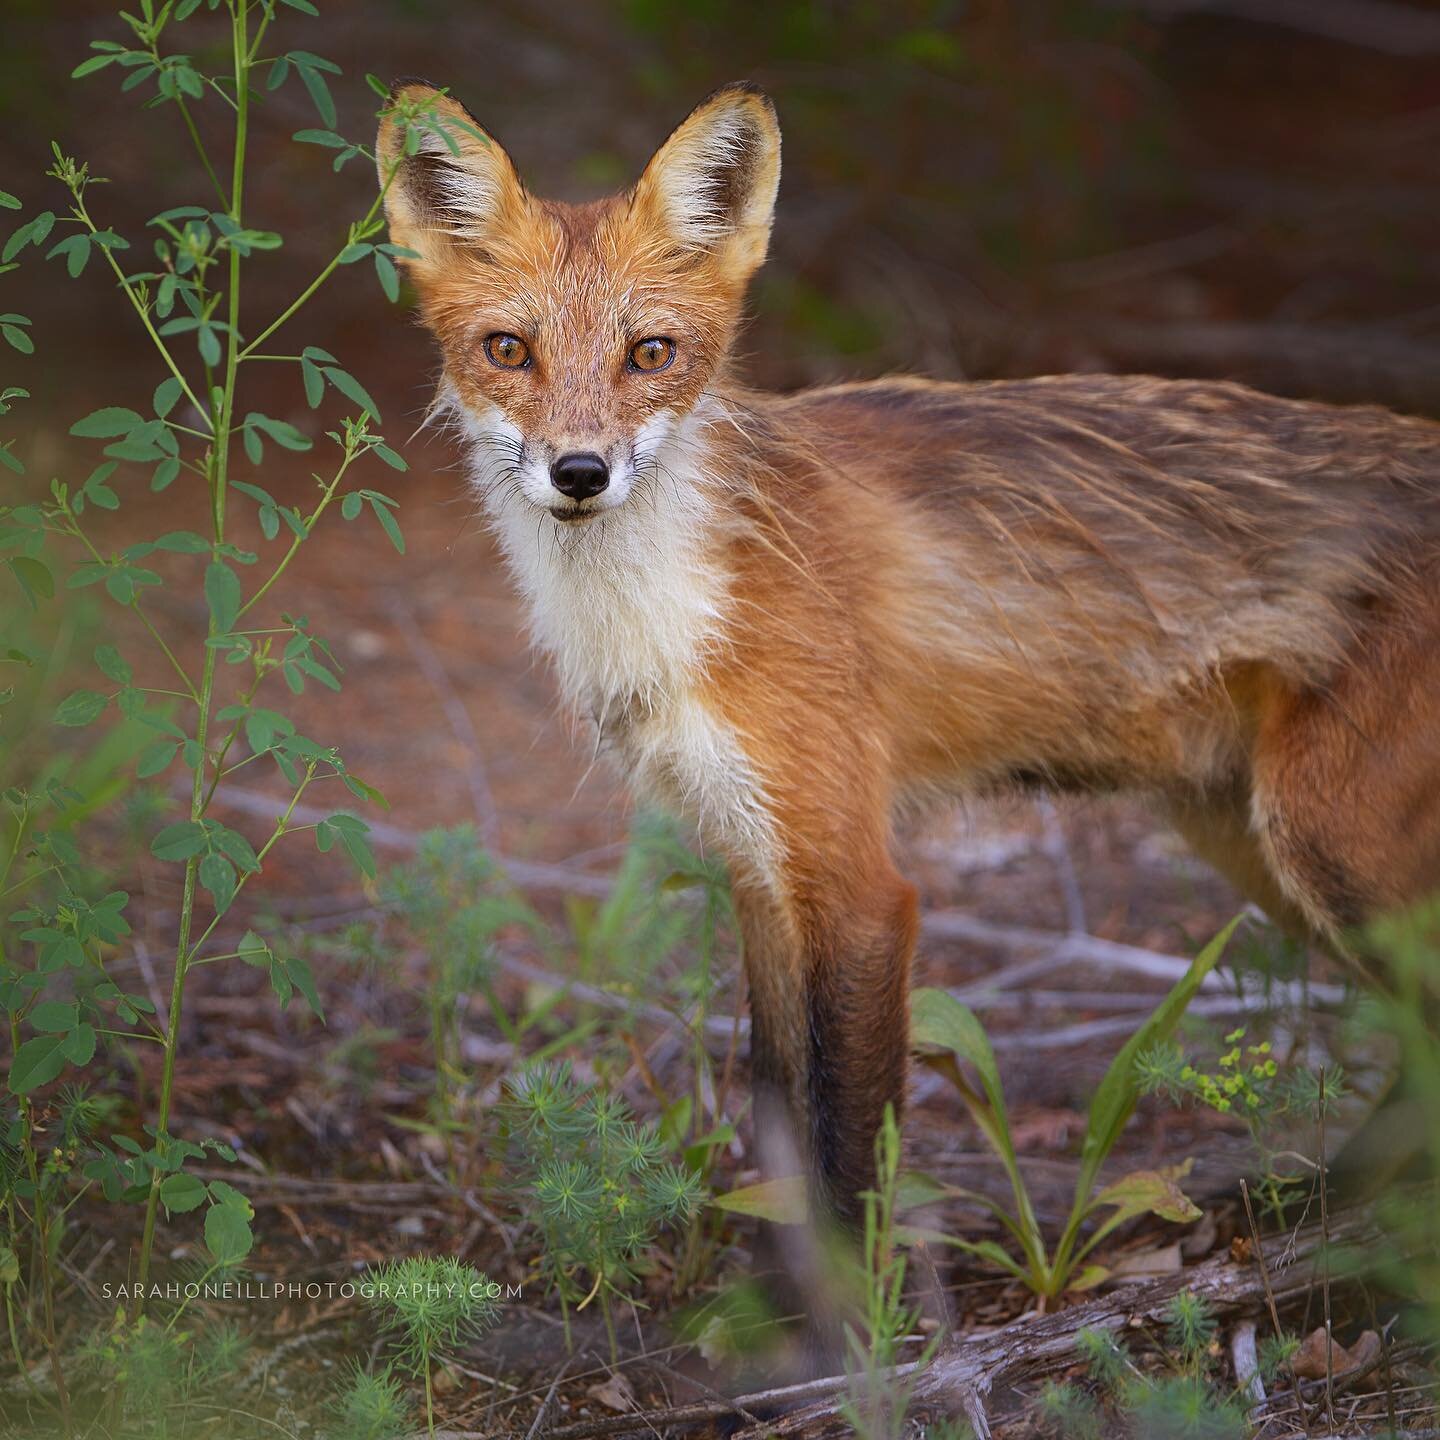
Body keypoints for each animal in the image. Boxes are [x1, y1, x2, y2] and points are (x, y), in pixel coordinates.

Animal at [377, 84, 1440, 1221]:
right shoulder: (756, 866)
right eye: (508, 350)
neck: (682, 599)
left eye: (649, 354)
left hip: (1326, 838)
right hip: (1248, 839)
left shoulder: (858, 884)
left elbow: (846, 1154)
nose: (579, 473)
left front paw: (853, 1276)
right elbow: (778, 1120)